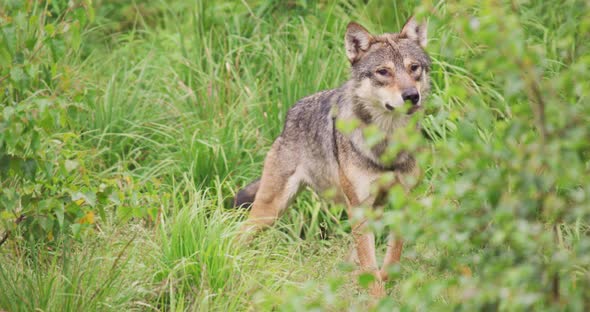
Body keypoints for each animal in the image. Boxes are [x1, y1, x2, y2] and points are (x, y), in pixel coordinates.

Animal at [234, 17, 432, 298]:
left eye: (414, 68)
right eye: (383, 72)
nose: (411, 96)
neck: (386, 142)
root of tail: (289, 117)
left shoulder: (401, 203)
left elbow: (391, 257)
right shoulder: (360, 208)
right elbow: (371, 267)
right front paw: (378, 299)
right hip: (271, 211)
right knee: (237, 235)